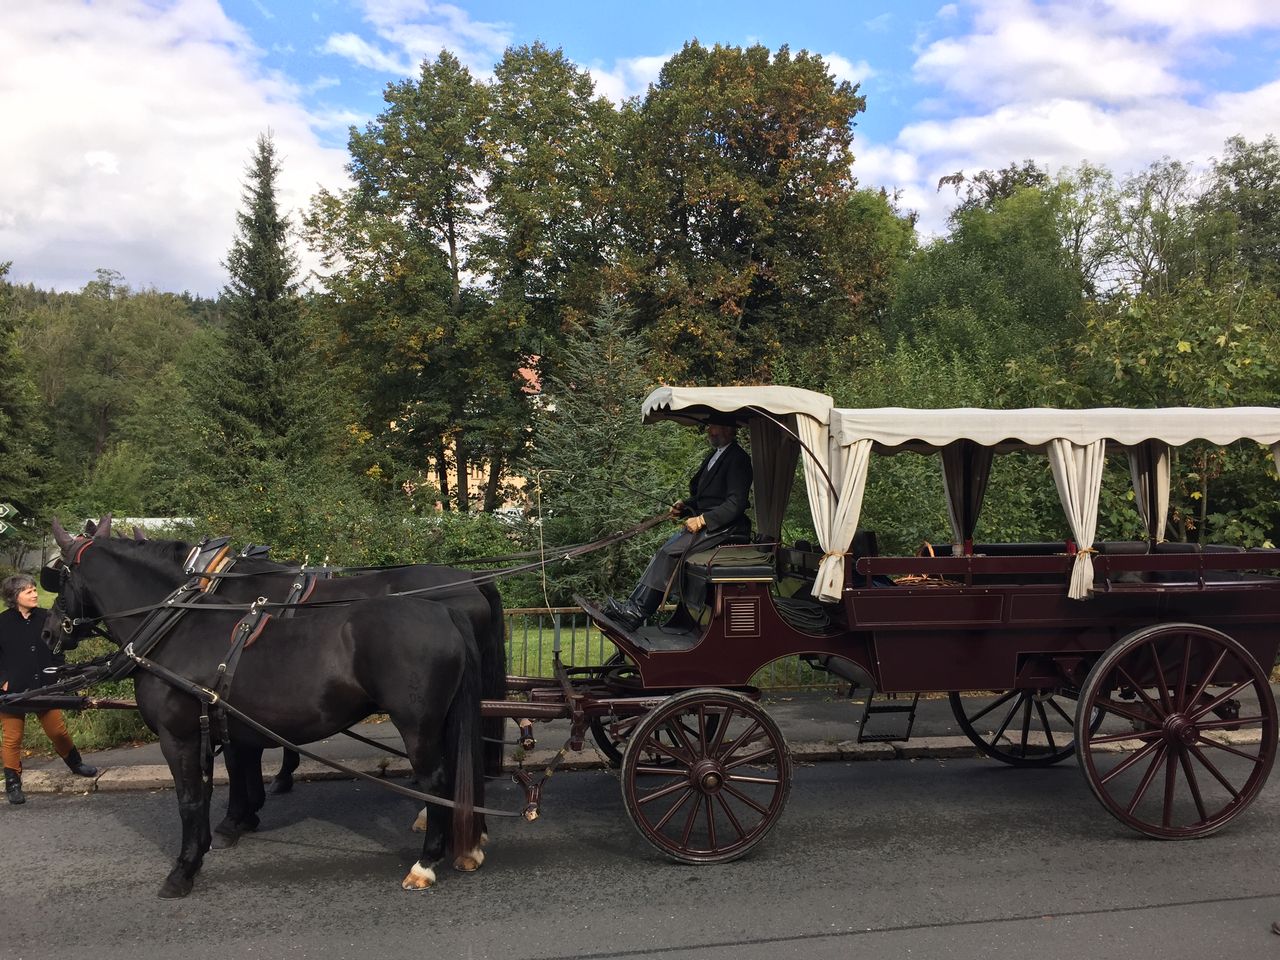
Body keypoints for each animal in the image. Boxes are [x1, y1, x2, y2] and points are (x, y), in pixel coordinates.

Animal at [47, 519, 486, 901]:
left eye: (58, 577)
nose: (49, 631)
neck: (175, 631)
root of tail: (446, 612)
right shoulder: (217, 727)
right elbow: (212, 787)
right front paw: (219, 835)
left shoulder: (179, 737)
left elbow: (191, 798)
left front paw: (186, 867)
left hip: (417, 725)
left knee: (436, 782)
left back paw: (426, 863)